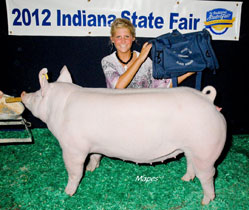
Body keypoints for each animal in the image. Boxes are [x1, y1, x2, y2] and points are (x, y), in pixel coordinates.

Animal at [20, 66, 228, 205]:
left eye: (38, 94)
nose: (22, 92)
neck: (60, 109)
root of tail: (209, 100)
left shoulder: (72, 148)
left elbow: (75, 171)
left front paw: (68, 192)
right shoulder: (94, 145)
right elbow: (95, 156)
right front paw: (92, 170)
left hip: (206, 148)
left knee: (209, 174)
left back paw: (205, 201)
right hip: (192, 148)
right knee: (191, 164)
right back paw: (185, 179)